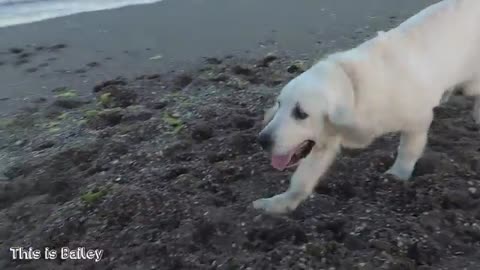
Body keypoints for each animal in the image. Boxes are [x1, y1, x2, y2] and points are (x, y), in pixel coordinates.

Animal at [253, 0, 480, 215]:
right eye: (279, 104)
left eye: (301, 113)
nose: (262, 141)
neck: (354, 89)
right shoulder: (325, 139)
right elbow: (302, 178)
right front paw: (280, 202)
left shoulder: (418, 121)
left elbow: (408, 150)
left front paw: (396, 176)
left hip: (470, 84)